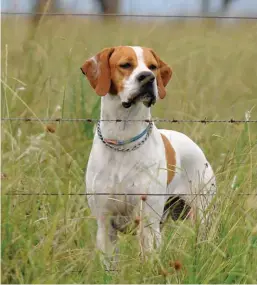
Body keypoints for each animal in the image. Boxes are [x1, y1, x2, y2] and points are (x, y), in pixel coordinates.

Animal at [79, 45, 214, 268]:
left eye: (153, 67)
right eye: (125, 65)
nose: (148, 78)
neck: (123, 140)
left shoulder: (148, 224)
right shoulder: (105, 224)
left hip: (202, 217)